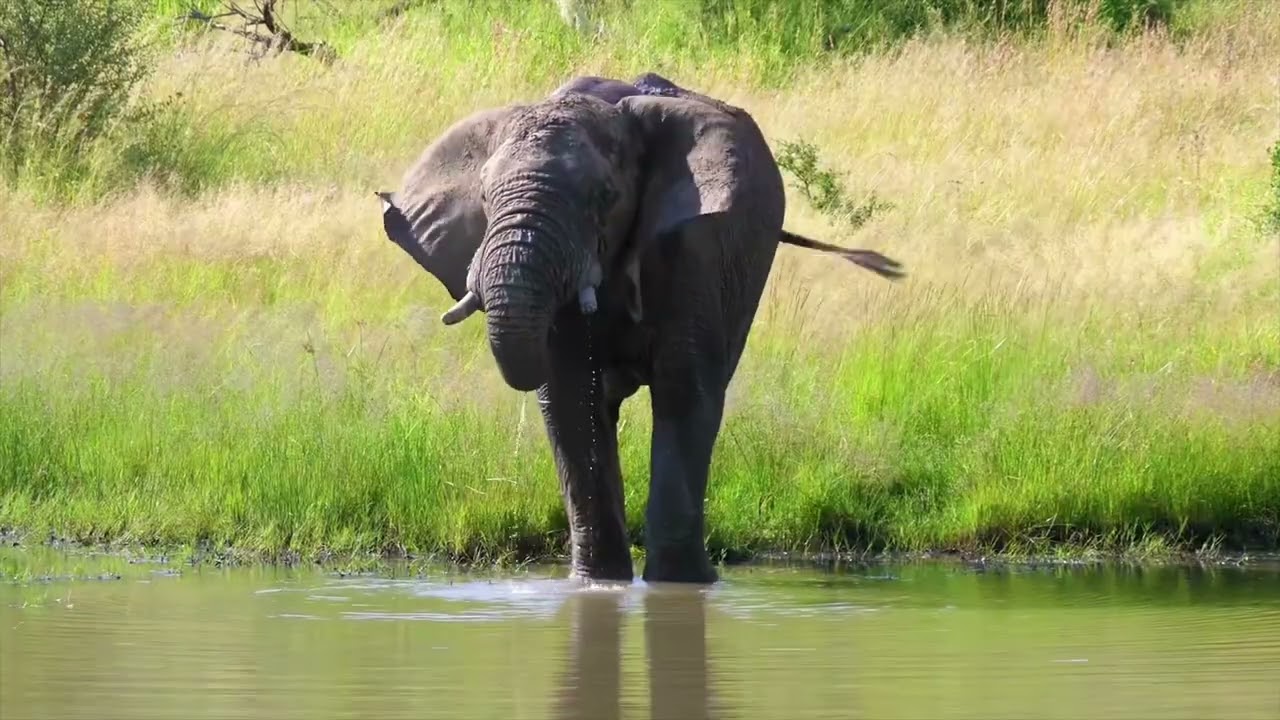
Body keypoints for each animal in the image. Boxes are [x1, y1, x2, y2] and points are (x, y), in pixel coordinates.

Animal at [376, 73, 903, 584]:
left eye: (604, 197)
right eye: (484, 197)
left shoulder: (693, 247)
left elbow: (683, 388)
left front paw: (682, 585)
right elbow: (572, 398)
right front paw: (598, 584)